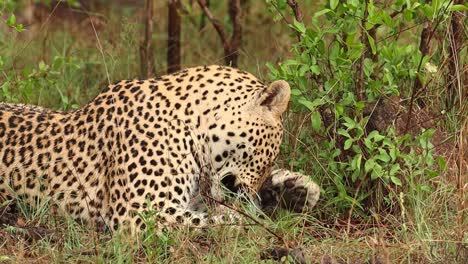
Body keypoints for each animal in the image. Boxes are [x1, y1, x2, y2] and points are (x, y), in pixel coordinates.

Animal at [0, 65, 316, 233]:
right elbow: (215, 220)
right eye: (269, 155)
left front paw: (292, 190)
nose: (254, 193)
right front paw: (256, 221)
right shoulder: (139, 211)